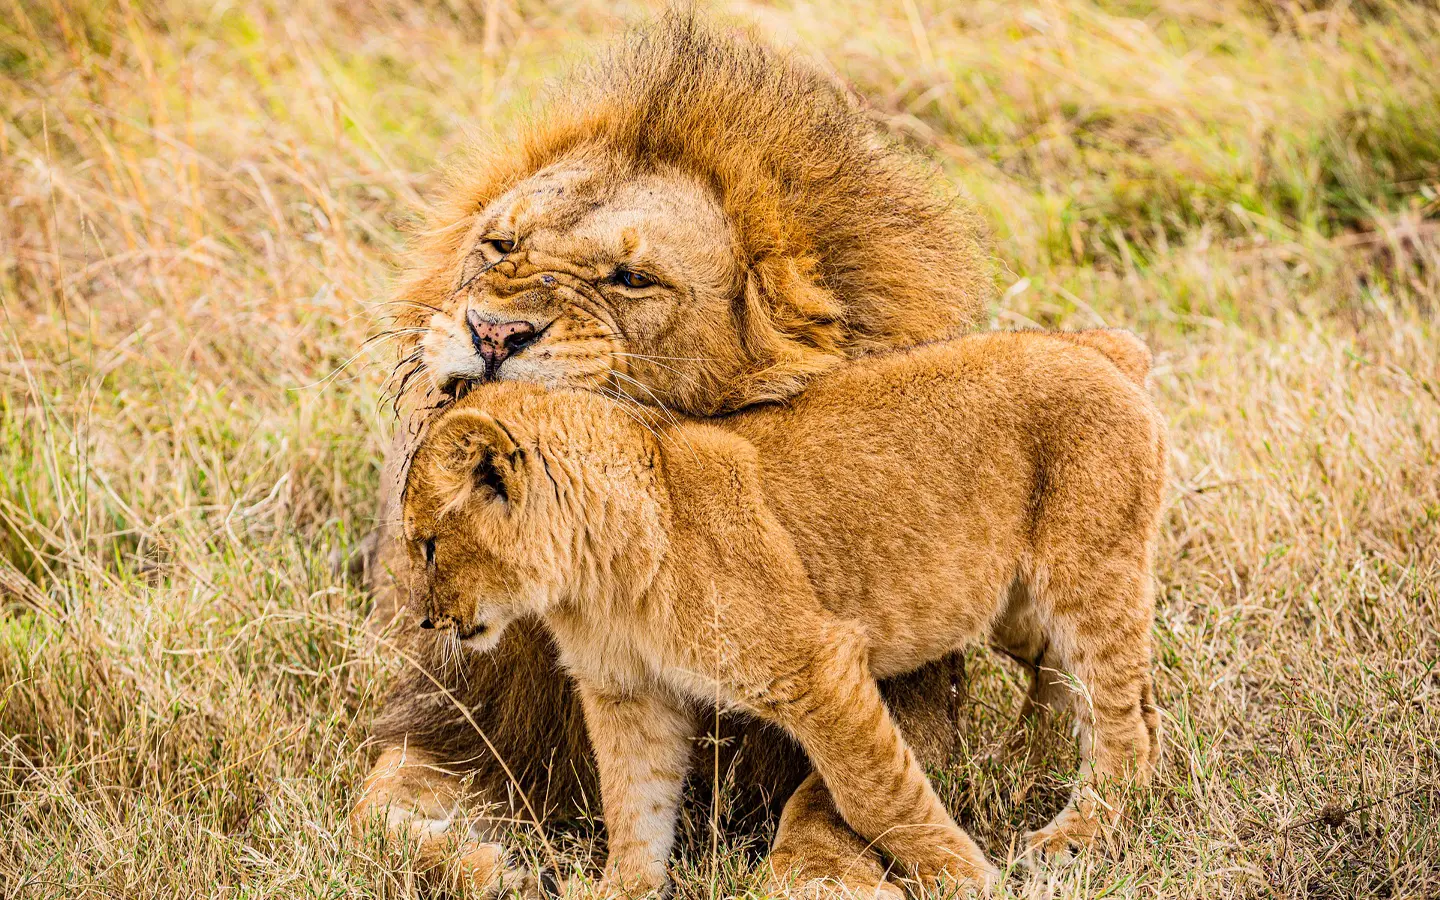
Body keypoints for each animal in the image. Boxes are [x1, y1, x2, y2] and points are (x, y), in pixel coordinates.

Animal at [353, 13, 994, 898]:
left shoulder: (913, 693)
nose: (493, 332)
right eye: (499, 244)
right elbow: (379, 820)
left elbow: (844, 798)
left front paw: (819, 877)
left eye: (632, 278)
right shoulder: (453, 717)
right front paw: (498, 869)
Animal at [396, 329, 1166, 896]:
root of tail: (1096, 345)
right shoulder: (628, 694)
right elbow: (634, 805)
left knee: (1124, 723)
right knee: (1101, 694)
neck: (598, 581)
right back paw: (1038, 774)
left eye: (429, 546)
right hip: (1017, 608)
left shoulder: (815, 666)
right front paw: (624, 889)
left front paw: (968, 880)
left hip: (1087, 574)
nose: (429, 622)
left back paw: (1075, 834)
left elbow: (875, 795)